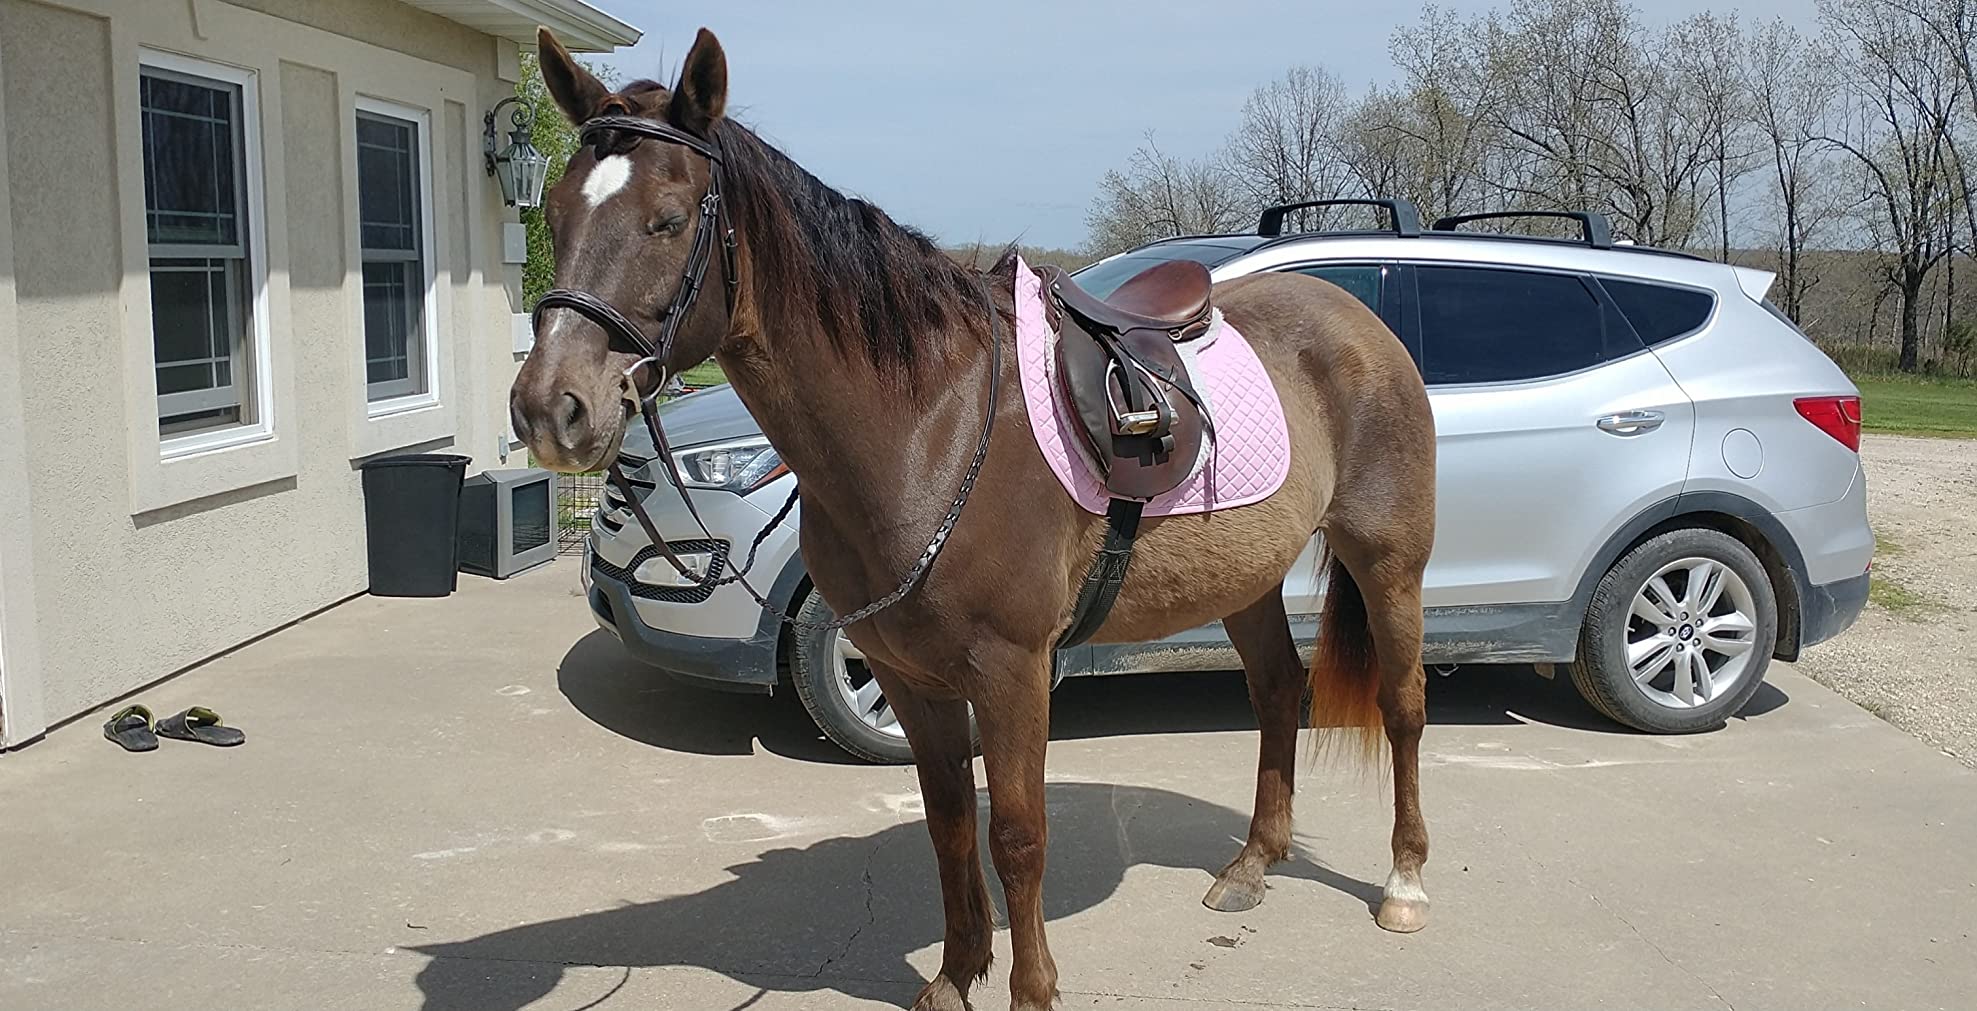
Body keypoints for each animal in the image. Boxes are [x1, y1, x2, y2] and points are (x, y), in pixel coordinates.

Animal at [509, 26, 1438, 1011]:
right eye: (557, 213)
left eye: (669, 218)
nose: (550, 409)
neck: (929, 425)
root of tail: (1351, 317)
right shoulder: (907, 674)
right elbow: (949, 823)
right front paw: (955, 976)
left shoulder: (1011, 669)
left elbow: (1017, 835)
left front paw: (1030, 990)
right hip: (1247, 578)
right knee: (1273, 689)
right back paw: (1253, 863)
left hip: (1388, 563)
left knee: (1402, 704)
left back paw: (1404, 881)